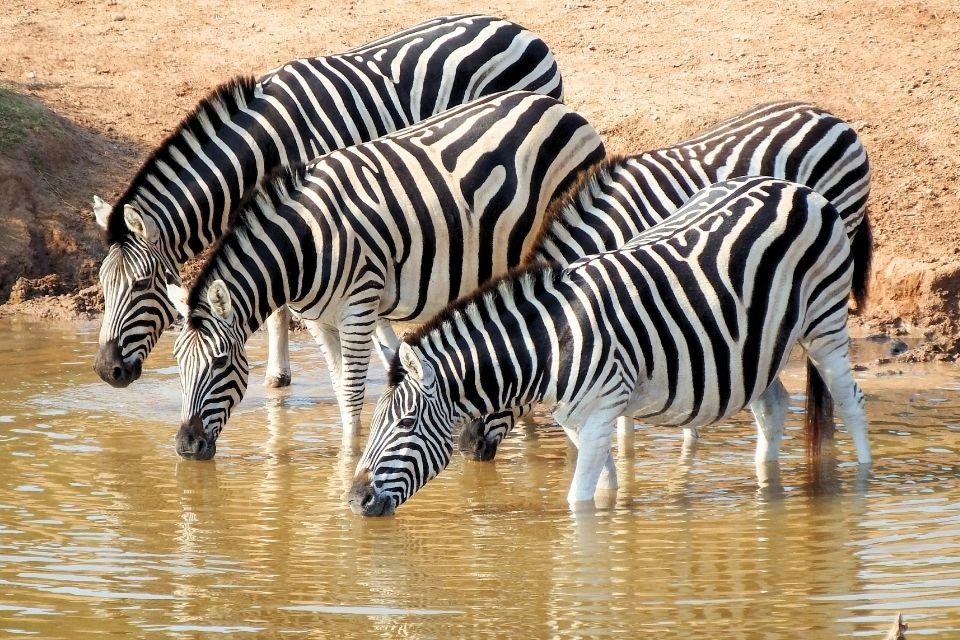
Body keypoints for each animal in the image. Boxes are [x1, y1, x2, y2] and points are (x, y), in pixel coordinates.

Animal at [164, 90, 605, 460]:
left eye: (220, 363)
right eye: (178, 362)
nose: (186, 445)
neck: (304, 246)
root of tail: (559, 107)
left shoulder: (359, 307)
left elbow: (353, 392)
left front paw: (348, 459)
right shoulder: (318, 319)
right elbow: (340, 387)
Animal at [348, 176, 872, 516]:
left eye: (406, 424)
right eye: (374, 423)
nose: (354, 501)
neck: (551, 341)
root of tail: (797, 188)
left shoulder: (602, 411)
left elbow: (578, 500)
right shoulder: (577, 420)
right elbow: (604, 489)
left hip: (825, 320)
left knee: (849, 401)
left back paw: (862, 482)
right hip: (755, 347)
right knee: (773, 405)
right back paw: (767, 485)